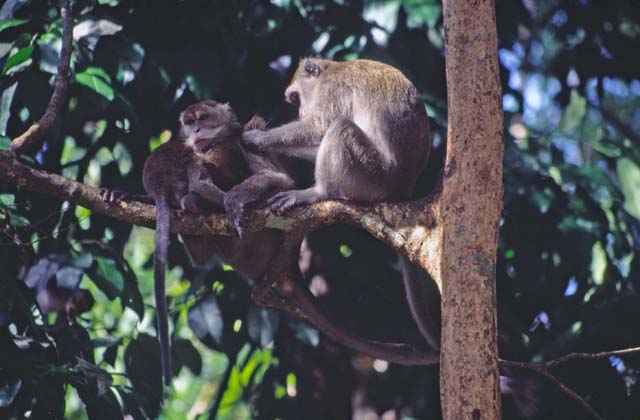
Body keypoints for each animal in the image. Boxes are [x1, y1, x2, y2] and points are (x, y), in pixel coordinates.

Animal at [241, 58, 440, 350]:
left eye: (295, 97)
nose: (300, 110)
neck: (331, 69)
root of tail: (402, 190)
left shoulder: (332, 91)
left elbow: (320, 126)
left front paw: (258, 138)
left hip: (371, 174)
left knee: (340, 128)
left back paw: (317, 192)